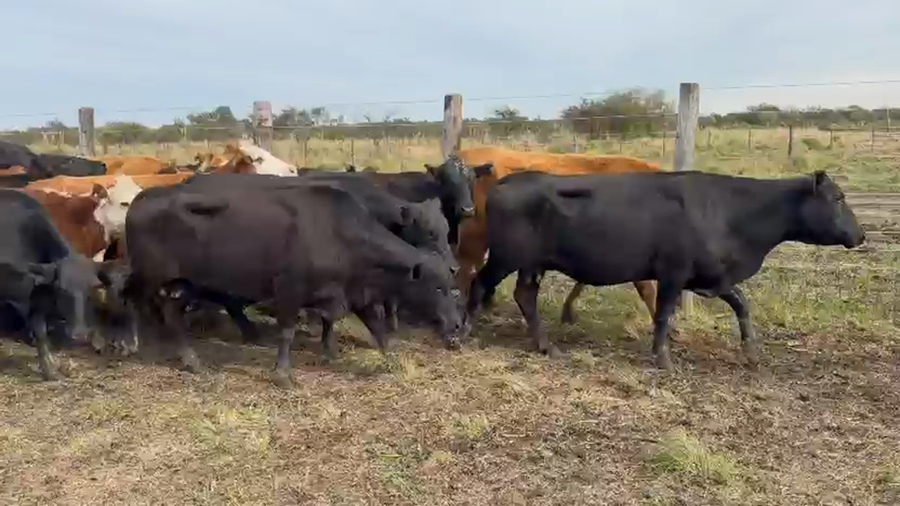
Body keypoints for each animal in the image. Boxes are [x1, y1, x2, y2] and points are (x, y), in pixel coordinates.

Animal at [0, 190, 134, 379]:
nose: (80, 333)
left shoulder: (37, 297)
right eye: (62, 290)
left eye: (93, 289)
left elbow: (41, 332)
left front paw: (49, 369)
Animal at [124, 182, 462, 387]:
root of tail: (142, 197)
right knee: (137, 302)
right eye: (437, 288)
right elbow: (286, 333)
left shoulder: (357, 294)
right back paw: (139, 346)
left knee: (170, 313)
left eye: (450, 285)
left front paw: (395, 361)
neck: (340, 235)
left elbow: (379, 331)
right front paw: (283, 374)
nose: (457, 325)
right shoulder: (288, 290)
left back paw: (191, 359)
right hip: (154, 276)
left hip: (184, 283)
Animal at [462, 170, 865, 370]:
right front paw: (663, 357)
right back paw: (464, 333)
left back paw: (546, 346)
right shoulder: (673, 272)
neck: (731, 210)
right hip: (505, 257)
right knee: (477, 283)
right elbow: (664, 313)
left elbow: (742, 303)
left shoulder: (713, 275)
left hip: (532, 264)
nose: (861, 234)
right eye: (839, 198)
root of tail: (507, 180)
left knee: (524, 296)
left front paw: (751, 351)